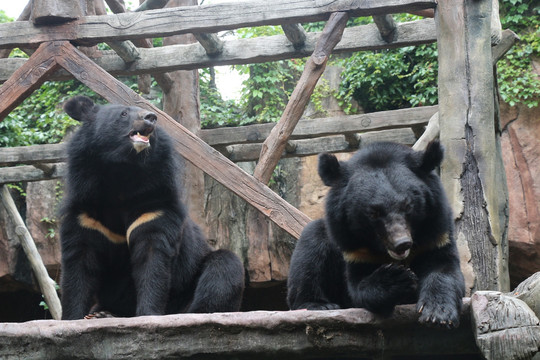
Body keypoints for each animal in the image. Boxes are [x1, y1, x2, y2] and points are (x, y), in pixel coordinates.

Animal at [60, 95, 244, 320]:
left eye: (149, 115)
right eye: (123, 113)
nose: (151, 118)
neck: (121, 174)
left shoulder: (153, 208)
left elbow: (152, 259)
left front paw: (148, 314)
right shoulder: (86, 213)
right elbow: (80, 262)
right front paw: (73, 318)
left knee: (224, 267)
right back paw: (100, 313)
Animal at [286, 141, 464, 330]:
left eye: (408, 206)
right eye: (374, 213)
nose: (402, 243)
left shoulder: (436, 234)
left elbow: (443, 268)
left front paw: (438, 314)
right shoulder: (355, 248)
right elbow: (358, 286)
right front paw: (396, 278)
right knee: (310, 249)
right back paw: (319, 305)